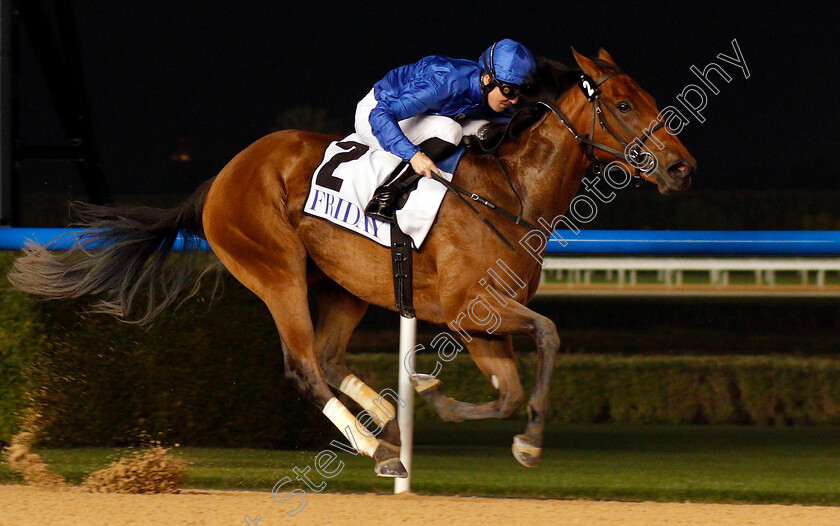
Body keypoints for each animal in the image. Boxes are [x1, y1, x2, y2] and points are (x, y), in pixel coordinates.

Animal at [9, 49, 696, 478]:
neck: (511, 192)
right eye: (625, 105)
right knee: (304, 367)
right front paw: (525, 441)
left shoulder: (478, 322)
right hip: (277, 271)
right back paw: (375, 447)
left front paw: (442, 400)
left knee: (331, 357)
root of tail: (220, 178)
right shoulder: (473, 308)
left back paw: (388, 421)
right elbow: (549, 335)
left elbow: (507, 392)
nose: (682, 166)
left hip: (346, 284)